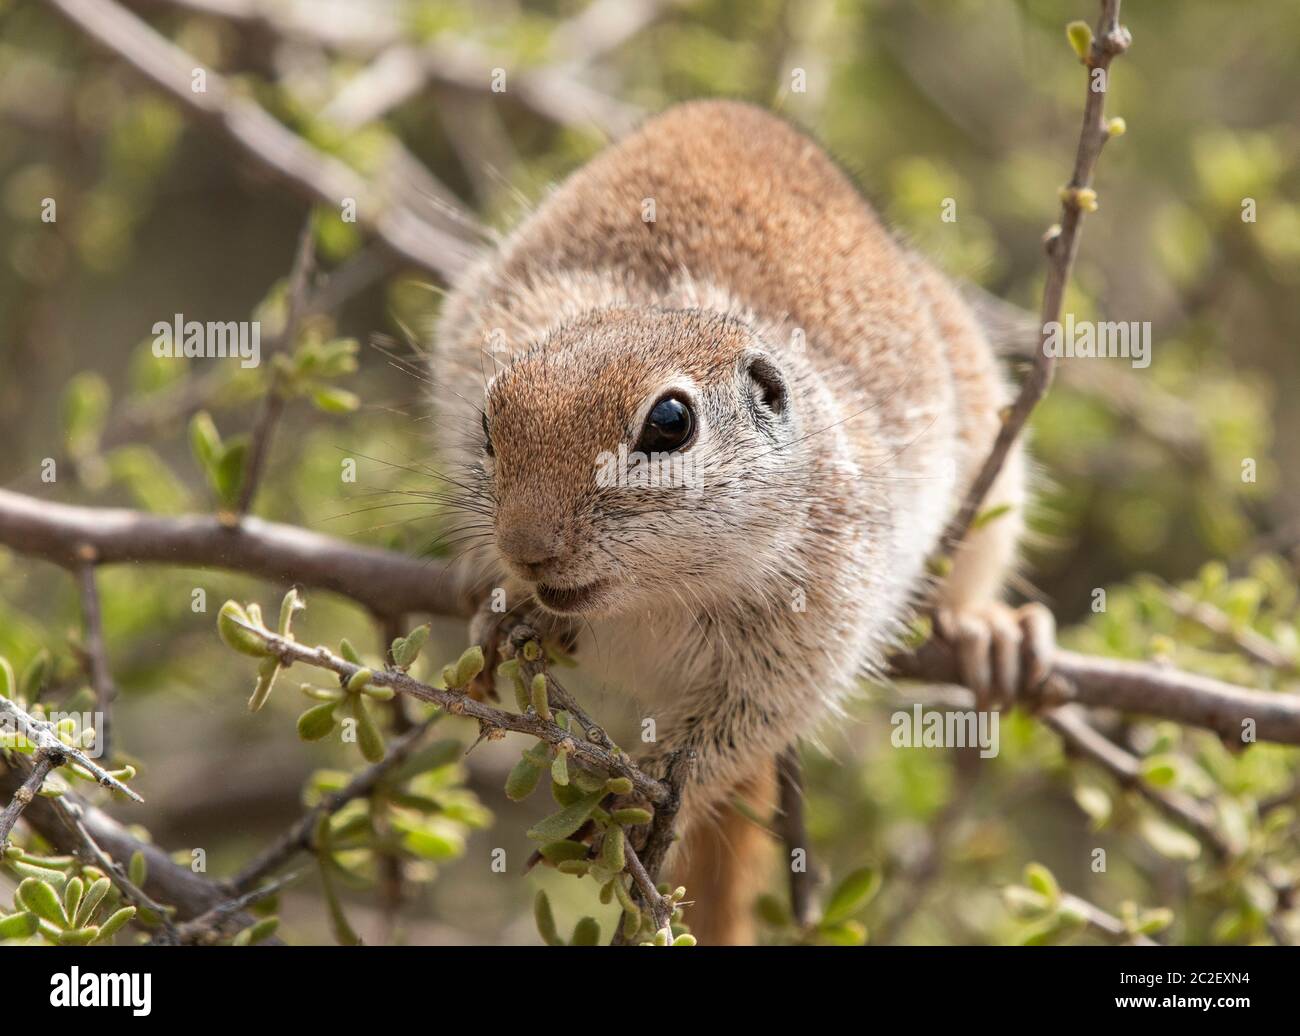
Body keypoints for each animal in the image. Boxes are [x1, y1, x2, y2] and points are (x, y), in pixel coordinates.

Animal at [432, 100, 1053, 945]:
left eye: (670, 423)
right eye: (489, 422)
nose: (525, 548)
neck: (659, 595)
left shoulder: (813, 628)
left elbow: (729, 740)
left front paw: (642, 802)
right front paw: (499, 615)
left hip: (993, 462)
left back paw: (988, 630)